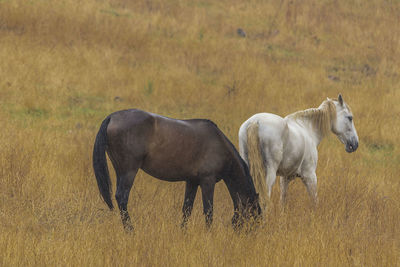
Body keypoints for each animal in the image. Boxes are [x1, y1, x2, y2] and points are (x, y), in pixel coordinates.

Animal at [94, 109, 262, 230]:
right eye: (253, 217)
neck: (219, 145)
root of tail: (112, 117)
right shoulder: (207, 181)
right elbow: (208, 211)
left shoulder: (192, 181)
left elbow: (187, 209)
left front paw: (183, 231)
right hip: (129, 171)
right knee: (122, 197)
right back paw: (130, 230)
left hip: (120, 171)